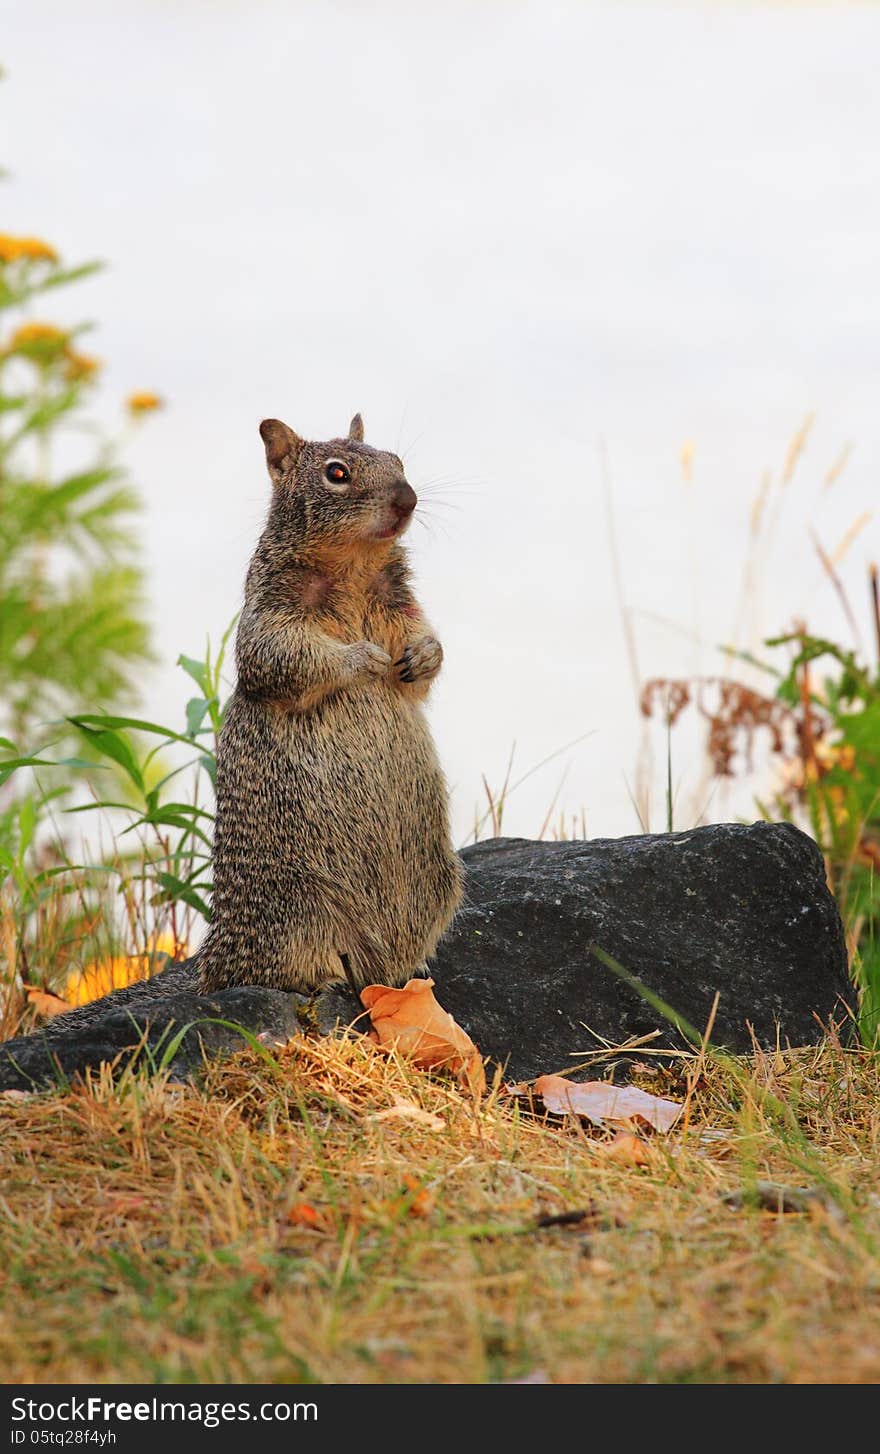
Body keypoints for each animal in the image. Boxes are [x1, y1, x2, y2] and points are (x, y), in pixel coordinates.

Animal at [196, 410, 462, 1000]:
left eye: (398, 460)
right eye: (336, 473)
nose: (407, 498)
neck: (355, 567)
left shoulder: (398, 602)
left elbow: (420, 653)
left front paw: (423, 655)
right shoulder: (271, 621)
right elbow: (291, 659)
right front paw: (364, 658)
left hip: (437, 882)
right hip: (295, 911)